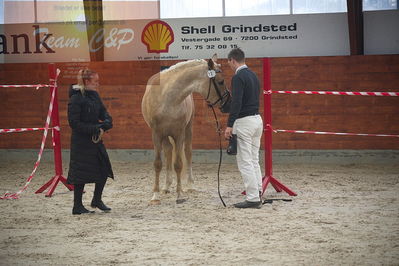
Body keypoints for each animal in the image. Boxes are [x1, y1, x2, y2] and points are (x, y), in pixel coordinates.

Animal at [143, 53, 231, 204]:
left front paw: (179, 195)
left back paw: (190, 185)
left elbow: (178, 164)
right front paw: (155, 195)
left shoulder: (179, 133)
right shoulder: (156, 134)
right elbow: (158, 164)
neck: (167, 99)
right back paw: (166, 186)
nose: (228, 103)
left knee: (188, 153)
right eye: (220, 81)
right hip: (165, 136)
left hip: (188, 130)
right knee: (168, 151)